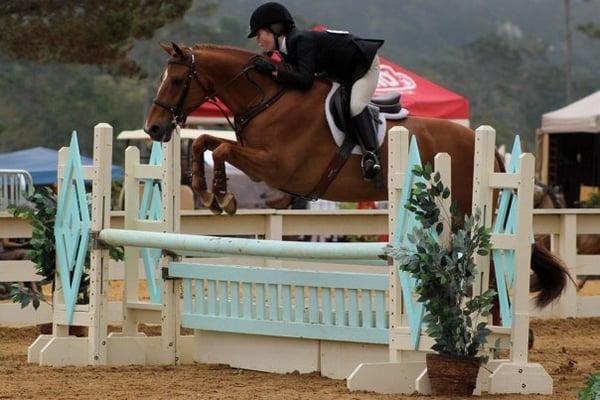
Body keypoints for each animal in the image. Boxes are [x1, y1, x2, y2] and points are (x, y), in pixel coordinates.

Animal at [143, 43, 568, 310]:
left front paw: (219, 195)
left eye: (177, 81)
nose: (153, 128)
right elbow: (205, 141)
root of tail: (484, 145)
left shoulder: (277, 165)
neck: (268, 98)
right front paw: (206, 189)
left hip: (465, 212)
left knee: (492, 268)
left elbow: (221, 149)